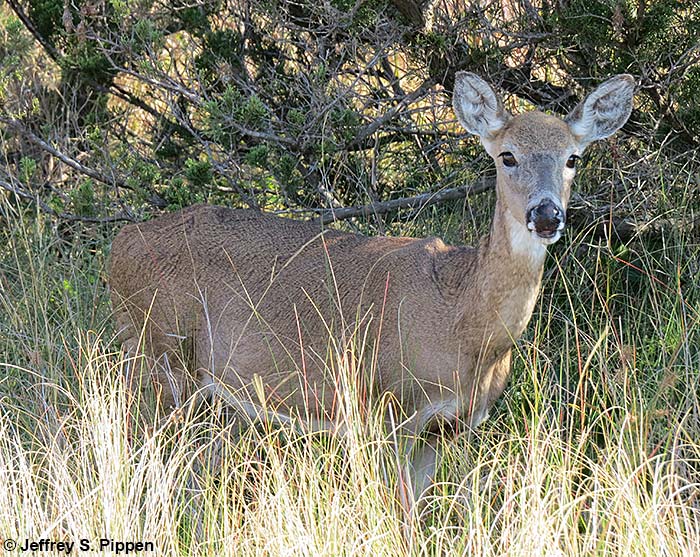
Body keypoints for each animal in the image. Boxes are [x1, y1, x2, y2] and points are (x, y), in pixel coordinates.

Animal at [109, 73, 634, 506]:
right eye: (508, 155)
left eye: (573, 158)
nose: (546, 215)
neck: (461, 318)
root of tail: (118, 245)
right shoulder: (388, 410)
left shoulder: (448, 429)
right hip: (158, 356)